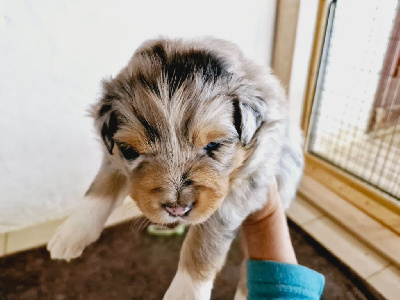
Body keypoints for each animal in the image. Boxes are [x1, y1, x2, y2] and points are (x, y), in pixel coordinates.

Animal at [47, 37, 304, 298]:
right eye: (131, 151)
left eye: (214, 145)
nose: (177, 210)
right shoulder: (113, 155)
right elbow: (102, 185)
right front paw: (70, 234)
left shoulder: (249, 181)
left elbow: (204, 239)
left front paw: (186, 291)